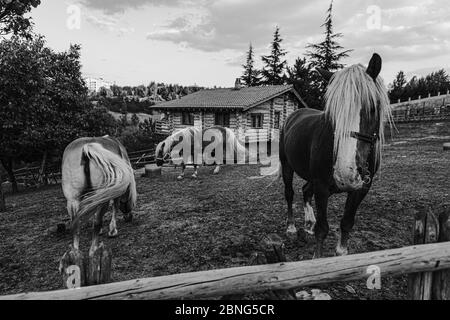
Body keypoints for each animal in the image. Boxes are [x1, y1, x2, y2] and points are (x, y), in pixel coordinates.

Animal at [280, 52, 392, 258]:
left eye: (373, 107)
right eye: (332, 113)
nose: (345, 173)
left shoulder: (361, 189)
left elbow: (346, 223)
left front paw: (341, 252)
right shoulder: (322, 187)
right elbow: (322, 229)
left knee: (305, 190)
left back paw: (309, 222)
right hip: (287, 166)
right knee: (290, 193)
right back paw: (291, 228)